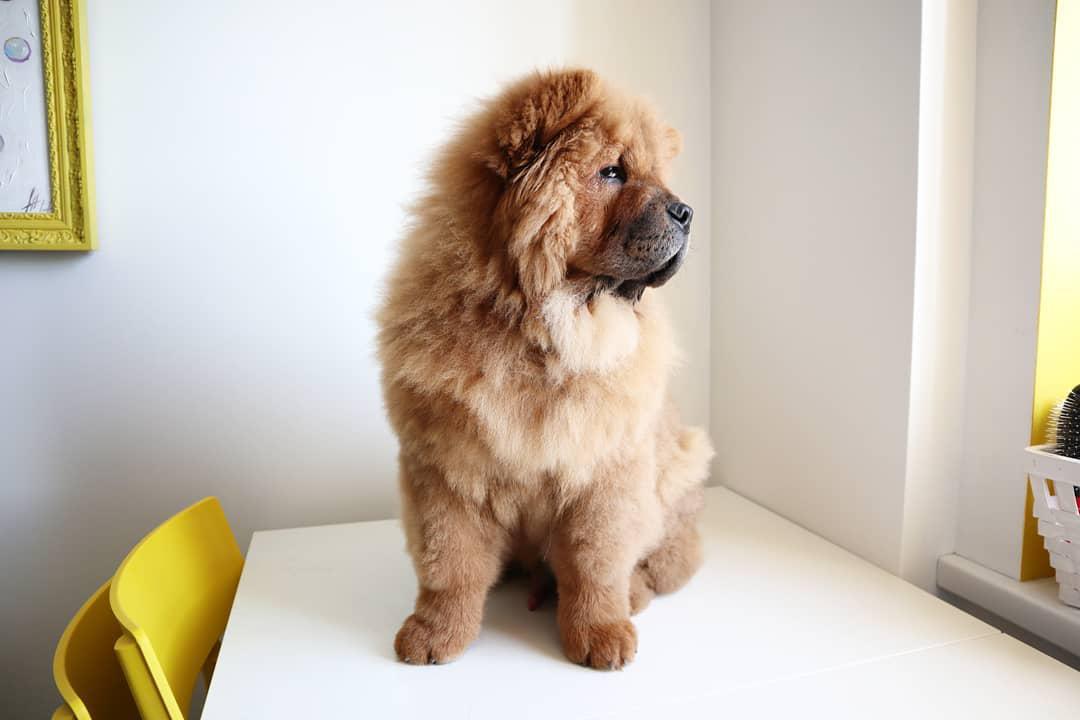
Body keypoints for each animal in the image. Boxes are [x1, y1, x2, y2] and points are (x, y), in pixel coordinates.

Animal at [375, 69, 712, 669]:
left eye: (654, 175)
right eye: (612, 172)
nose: (687, 211)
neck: (541, 330)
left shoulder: (605, 475)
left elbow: (595, 566)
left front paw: (600, 635)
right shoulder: (444, 472)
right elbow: (449, 565)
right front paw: (435, 636)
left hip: (678, 467)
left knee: (671, 557)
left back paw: (635, 593)